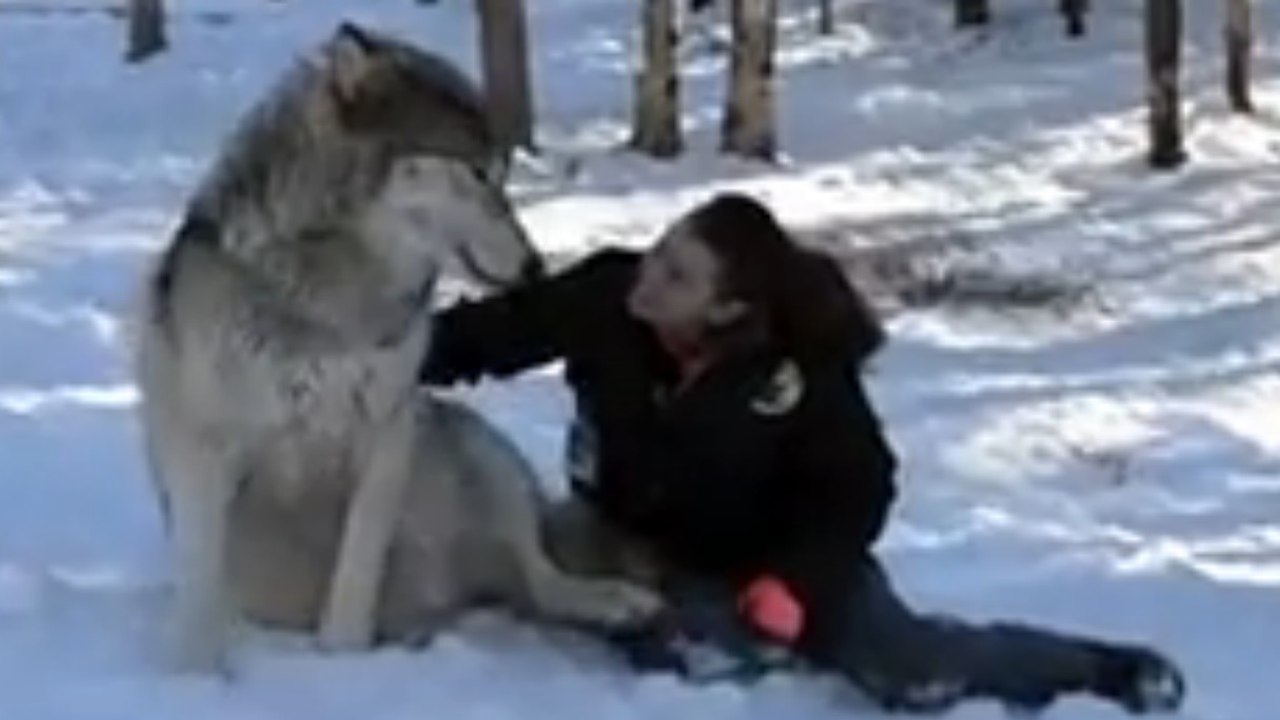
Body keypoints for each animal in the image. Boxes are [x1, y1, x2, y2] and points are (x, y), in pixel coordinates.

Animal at [134, 22, 661, 674]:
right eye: (478, 174)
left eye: (503, 174)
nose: (536, 267)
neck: (335, 294)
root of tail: (455, 593)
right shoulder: (205, 447)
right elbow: (200, 588)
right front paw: (197, 677)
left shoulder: (387, 432)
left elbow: (354, 580)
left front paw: (343, 664)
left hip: (480, 449)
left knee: (543, 580)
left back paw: (622, 604)